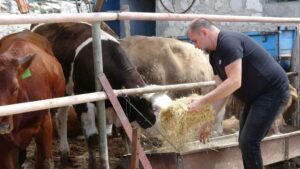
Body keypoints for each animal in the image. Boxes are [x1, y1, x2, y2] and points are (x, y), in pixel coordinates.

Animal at [31, 22, 171, 169]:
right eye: (154, 108)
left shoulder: (114, 105)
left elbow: (119, 133)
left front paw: (127, 156)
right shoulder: (83, 101)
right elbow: (92, 136)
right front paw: (93, 164)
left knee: (61, 117)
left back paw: (65, 155)